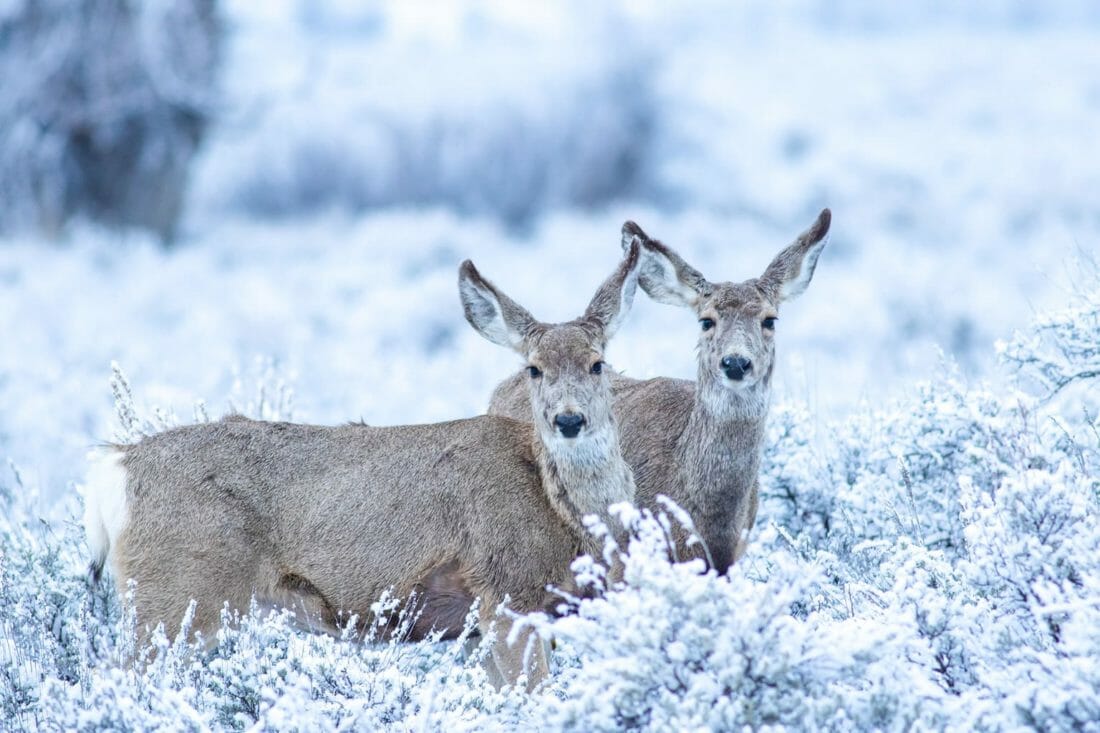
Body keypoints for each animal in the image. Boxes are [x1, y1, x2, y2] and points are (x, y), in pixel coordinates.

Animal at [81, 244, 642, 686]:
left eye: (598, 363)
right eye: (534, 369)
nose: (568, 419)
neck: (561, 513)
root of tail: (116, 464)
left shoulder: (480, 623)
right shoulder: (508, 592)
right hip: (178, 592)